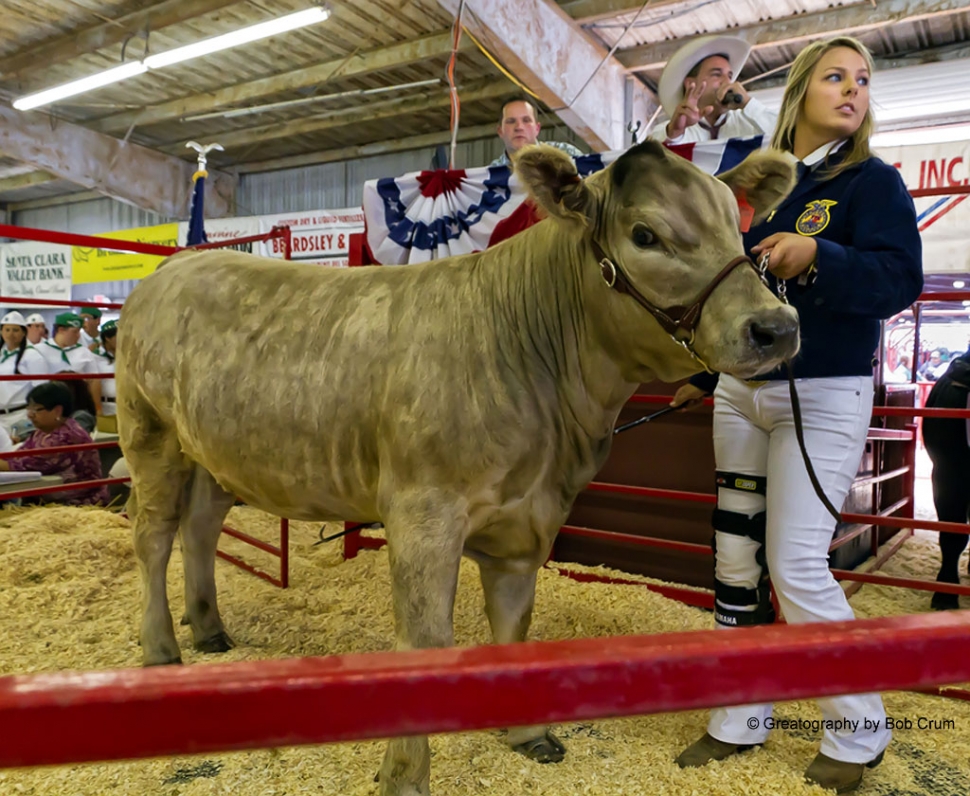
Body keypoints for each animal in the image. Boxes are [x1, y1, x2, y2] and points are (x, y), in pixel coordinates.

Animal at [115, 143, 796, 796]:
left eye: (738, 229)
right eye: (645, 234)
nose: (777, 326)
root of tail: (178, 264)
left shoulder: (529, 518)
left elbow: (515, 624)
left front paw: (527, 735)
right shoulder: (424, 512)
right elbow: (425, 640)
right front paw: (404, 777)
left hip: (210, 453)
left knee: (200, 528)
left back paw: (208, 629)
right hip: (148, 433)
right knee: (153, 537)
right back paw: (161, 651)